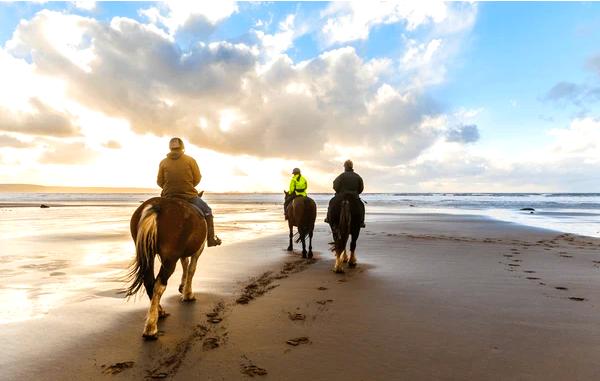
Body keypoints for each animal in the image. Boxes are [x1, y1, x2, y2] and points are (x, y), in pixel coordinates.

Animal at [125, 193, 207, 338]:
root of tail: (157, 206)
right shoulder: (198, 251)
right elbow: (191, 269)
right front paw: (188, 294)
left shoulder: (183, 253)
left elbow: (185, 265)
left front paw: (182, 287)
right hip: (169, 259)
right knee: (159, 285)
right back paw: (151, 327)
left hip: (149, 254)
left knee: (149, 283)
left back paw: (159, 312)